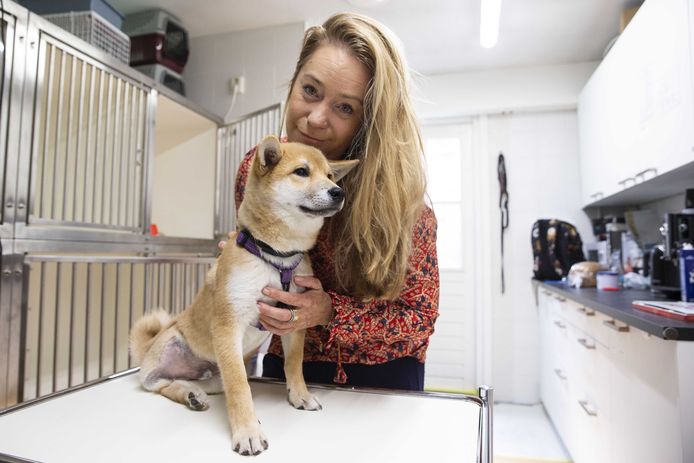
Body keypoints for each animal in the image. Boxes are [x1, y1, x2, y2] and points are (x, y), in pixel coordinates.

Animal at [129, 135, 358, 456]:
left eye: (329, 175)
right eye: (302, 172)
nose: (339, 192)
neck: (276, 257)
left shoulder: (294, 321)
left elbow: (293, 364)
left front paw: (299, 395)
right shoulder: (228, 326)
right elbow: (240, 388)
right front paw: (248, 431)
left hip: (214, 373)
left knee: (199, 382)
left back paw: (194, 393)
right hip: (169, 345)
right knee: (161, 384)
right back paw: (188, 394)